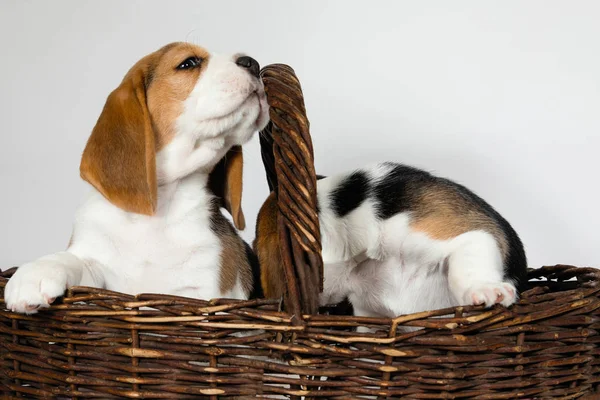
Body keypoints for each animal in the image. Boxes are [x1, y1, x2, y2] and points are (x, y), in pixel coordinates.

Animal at [6, 43, 270, 312]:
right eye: (188, 63)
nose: (253, 63)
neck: (160, 207)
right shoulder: (98, 262)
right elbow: (74, 260)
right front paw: (36, 273)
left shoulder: (205, 287)